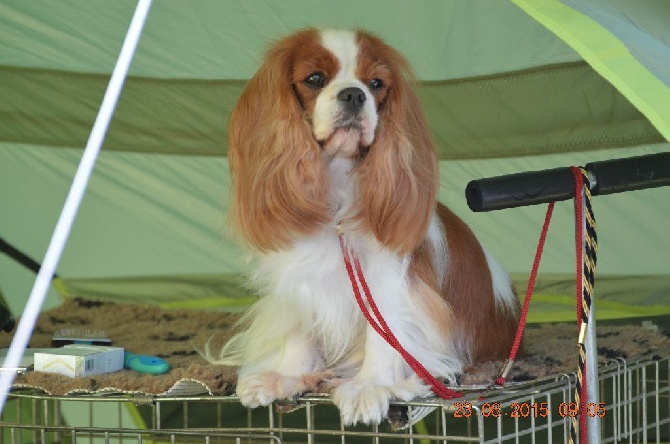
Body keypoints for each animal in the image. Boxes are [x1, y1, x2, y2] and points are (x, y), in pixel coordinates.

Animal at [207, 28, 524, 426]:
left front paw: (371, 385)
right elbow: (300, 327)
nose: (354, 94)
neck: (337, 189)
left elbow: (383, 333)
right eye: (315, 79)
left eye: (376, 84)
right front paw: (288, 376)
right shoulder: (300, 276)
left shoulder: (388, 279)